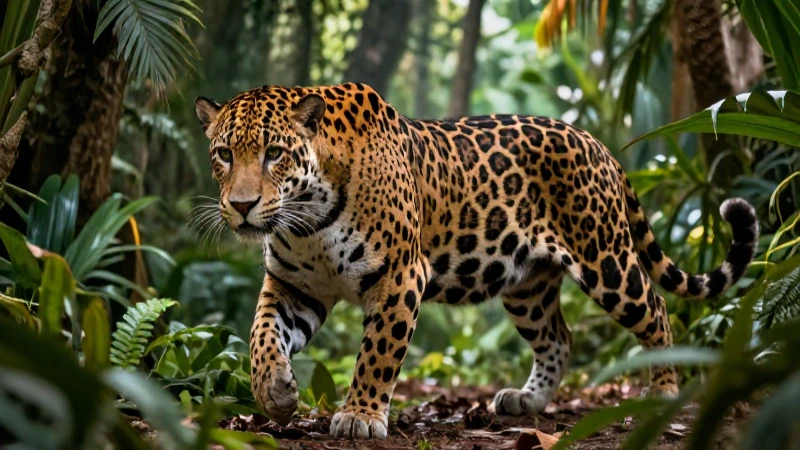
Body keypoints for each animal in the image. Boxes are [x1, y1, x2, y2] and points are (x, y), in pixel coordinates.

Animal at [193, 82, 759, 439]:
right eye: (223, 154)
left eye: (274, 154)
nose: (241, 206)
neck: (308, 217)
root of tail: (597, 143)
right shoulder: (294, 286)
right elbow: (262, 334)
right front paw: (274, 391)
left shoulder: (401, 277)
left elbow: (377, 354)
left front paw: (359, 416)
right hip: (526, 285)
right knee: (558, 337)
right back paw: (526, 402)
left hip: (607, 260)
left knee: (657, 311)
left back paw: (663, 391)